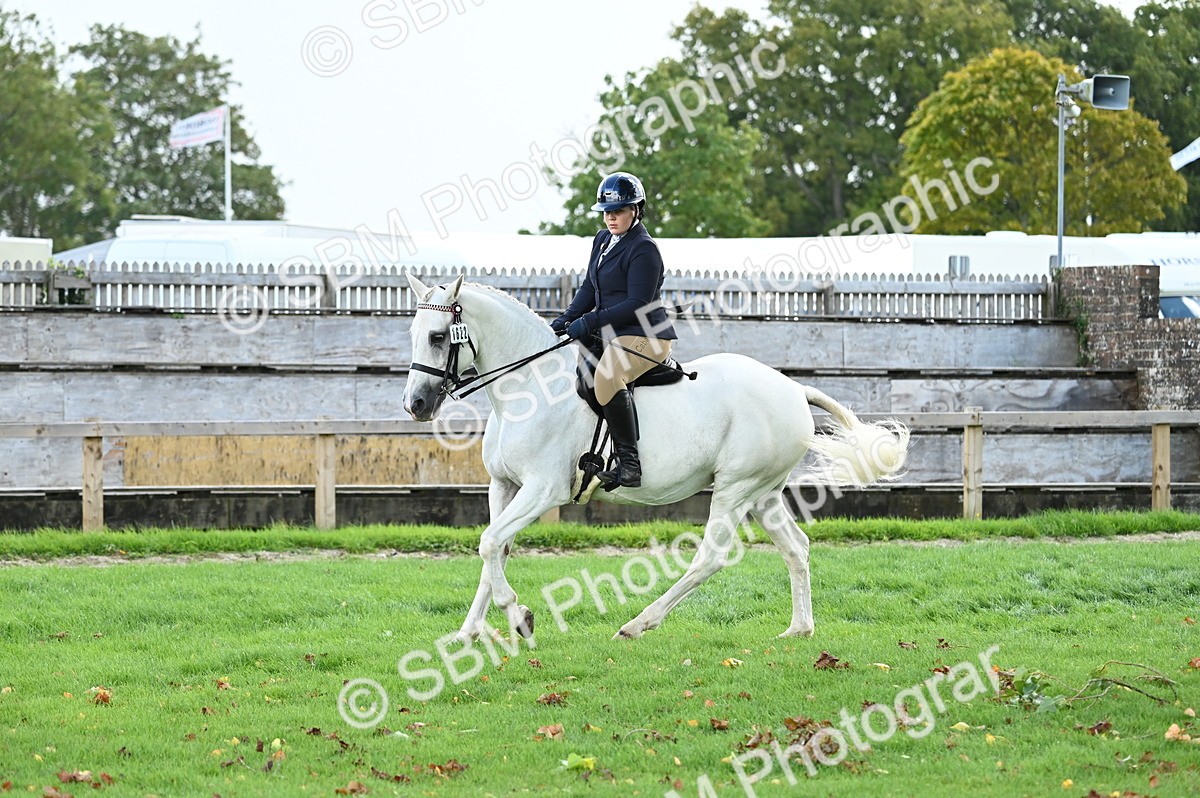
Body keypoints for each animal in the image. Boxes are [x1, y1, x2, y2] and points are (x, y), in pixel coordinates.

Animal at [402, 273, 909, 642]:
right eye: (414, 333)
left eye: (437, 336)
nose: (416, 404)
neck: (528, 387)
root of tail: (791, 387)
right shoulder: (503, 485)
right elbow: (496, 550)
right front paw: (467, 634)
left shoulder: (543, 490)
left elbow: (490, 543)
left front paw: (520, 619)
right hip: (764, 493)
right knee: (796, 547)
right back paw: (799, 629)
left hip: (735, 487)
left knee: (710, 557)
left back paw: (637, 624)